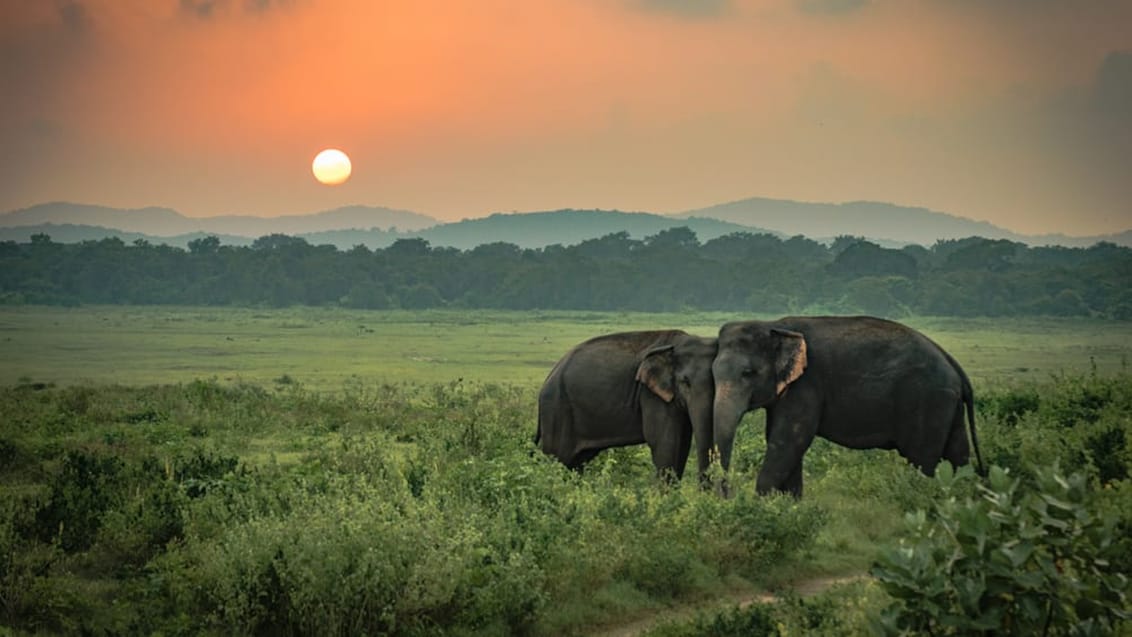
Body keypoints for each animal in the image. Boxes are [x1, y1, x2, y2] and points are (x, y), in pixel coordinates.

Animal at [532, 332, 710, 481]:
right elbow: (664, 443)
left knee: (575, 462)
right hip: (557, 409)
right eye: (685, 382)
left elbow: (682, 445)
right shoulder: (650, 395)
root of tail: (549, 377)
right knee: (557, 458)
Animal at [715, 319, 982, 497]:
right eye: (713, 373)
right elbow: (781, 440)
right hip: (947, 404)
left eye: (748, 373)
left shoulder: (806, 385)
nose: (727, 495)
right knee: (958, 454)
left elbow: (788, 440)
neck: (774, 326)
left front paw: (762, 504)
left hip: (928, 402)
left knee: (921, 459)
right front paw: (789, 506)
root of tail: (952, 364)